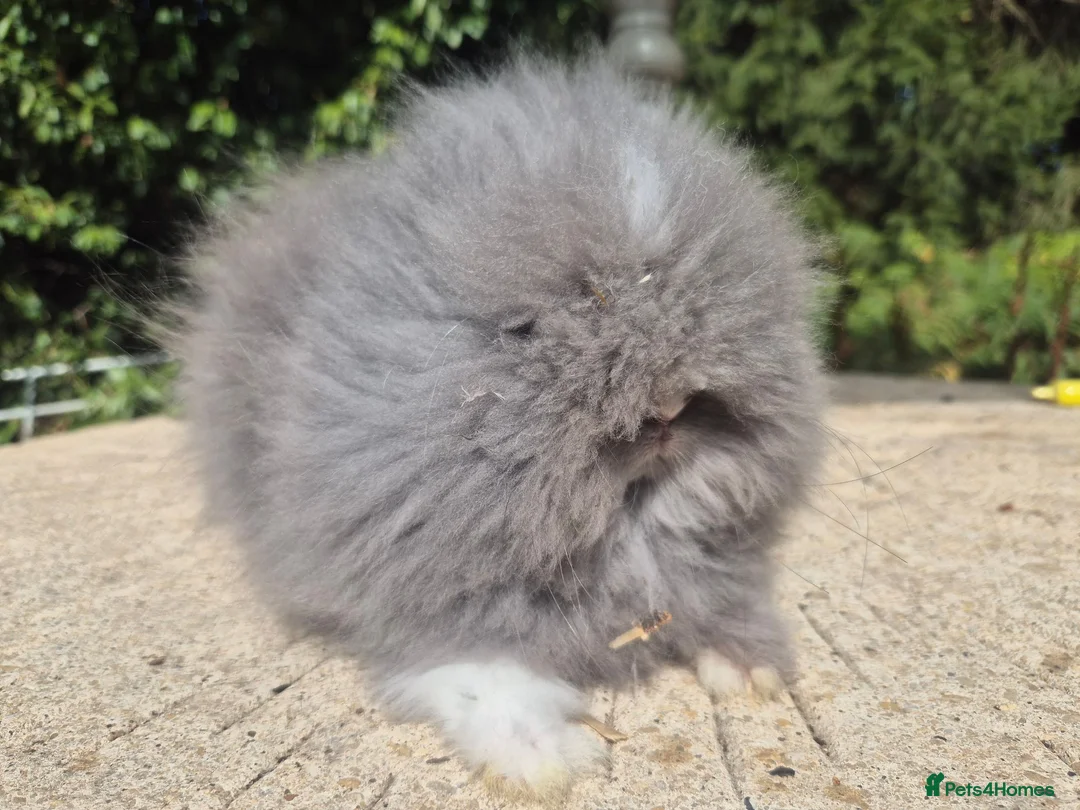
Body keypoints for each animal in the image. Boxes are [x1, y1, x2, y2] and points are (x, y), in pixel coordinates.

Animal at [171, 48, 826, 802]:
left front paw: (751, 671)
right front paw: (548, 760)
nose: (668, 412)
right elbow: (485, 678)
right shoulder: (430, 604)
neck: (627, 524)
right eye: (524, 329)